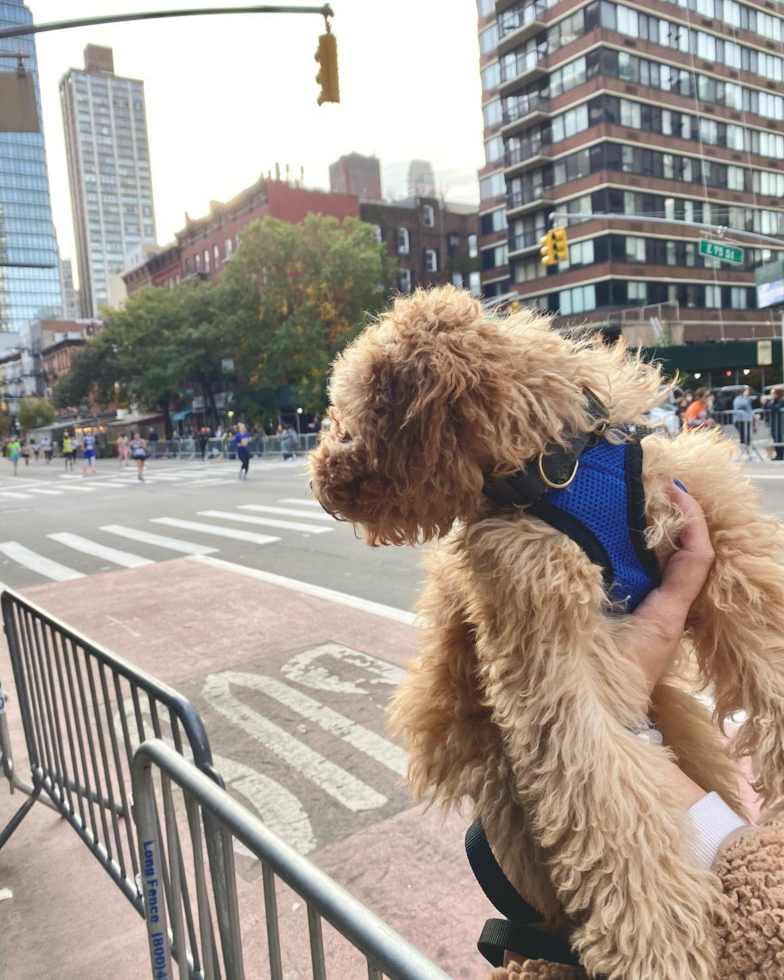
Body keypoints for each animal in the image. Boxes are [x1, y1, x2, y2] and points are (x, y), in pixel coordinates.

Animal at [308, 286, 784, 980]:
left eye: (349, 415)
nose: (317, 478)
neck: (562, 463)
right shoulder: (548, 642)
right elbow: (604, 791)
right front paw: (655, 940)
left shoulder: (726, 550)